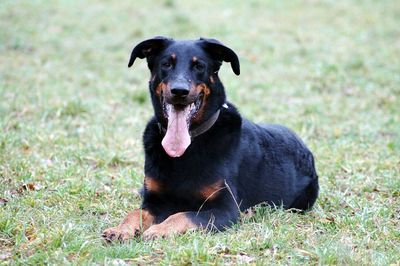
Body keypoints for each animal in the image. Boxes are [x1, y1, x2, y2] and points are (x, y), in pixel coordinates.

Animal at [102, 35, 318, 241]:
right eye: (166, 64)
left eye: (199, 66)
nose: (179, 91)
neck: (190, 145)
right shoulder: (155, 201)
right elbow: (134, 213)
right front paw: (120, 230)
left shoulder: (224, 209)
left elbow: (182, 215)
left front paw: (159, 230)